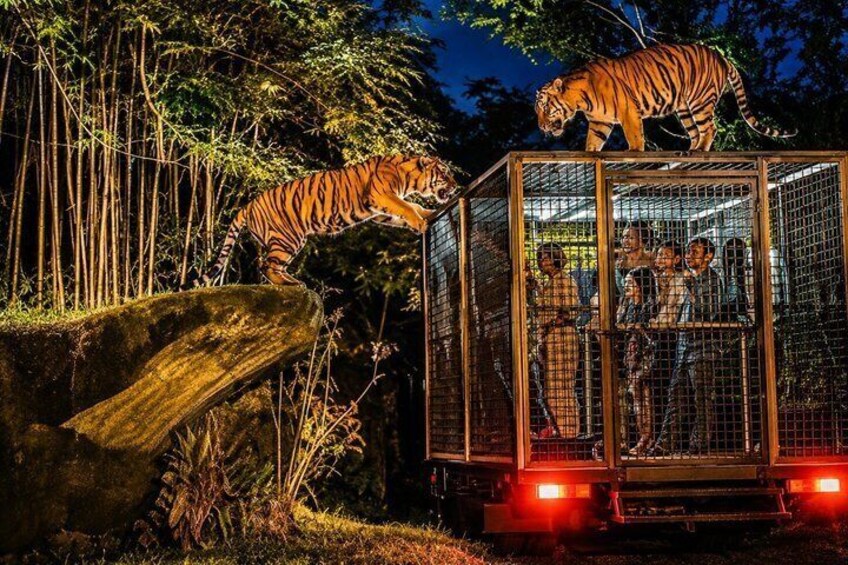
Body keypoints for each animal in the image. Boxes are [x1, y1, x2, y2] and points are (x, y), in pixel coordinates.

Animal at [186, 155, 456, 287]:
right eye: (445, 174)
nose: (455, 186)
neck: (408, 177)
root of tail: (247, 205)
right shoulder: (381, 195)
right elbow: (407, 207)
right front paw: (421, 222)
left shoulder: (379, 209)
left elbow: (411, 207)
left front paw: (425, 214)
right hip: (288, 239)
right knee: (266, 265)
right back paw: (291, 284)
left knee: (269, 265)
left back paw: (290, 281)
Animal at [535, 43, 796, 151]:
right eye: (537, 111)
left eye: (546, 108)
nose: (541, 127)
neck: (581, 100)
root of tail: (721, 57)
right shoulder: (600, 121)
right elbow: (592, 143)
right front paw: (590, 154)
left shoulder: (628, 111)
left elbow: (635, 137)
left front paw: (634, 152)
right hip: (684, 109)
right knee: (695, 131)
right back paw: (692, 149)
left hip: (700, 101)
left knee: (710, 128)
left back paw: (699, 151)